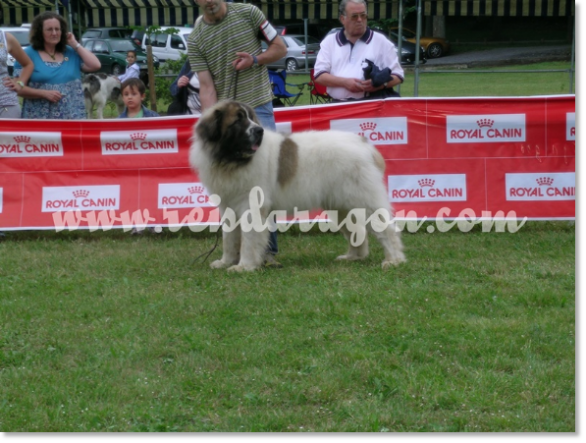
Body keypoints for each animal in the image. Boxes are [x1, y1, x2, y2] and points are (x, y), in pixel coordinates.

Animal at [189, 100, 404, 272]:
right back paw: (353, 257)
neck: (230, 160)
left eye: (251, 118)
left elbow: (248, 240)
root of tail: (364, 144)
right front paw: (225, 262)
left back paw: (394, 260)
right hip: (340, 205)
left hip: (364, 199)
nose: (259, 131)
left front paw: (244, 266)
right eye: (238, 120)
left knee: (386, 228)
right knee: (356, 228)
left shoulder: (251, 206)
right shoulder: (228, 206)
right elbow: (229, 238)